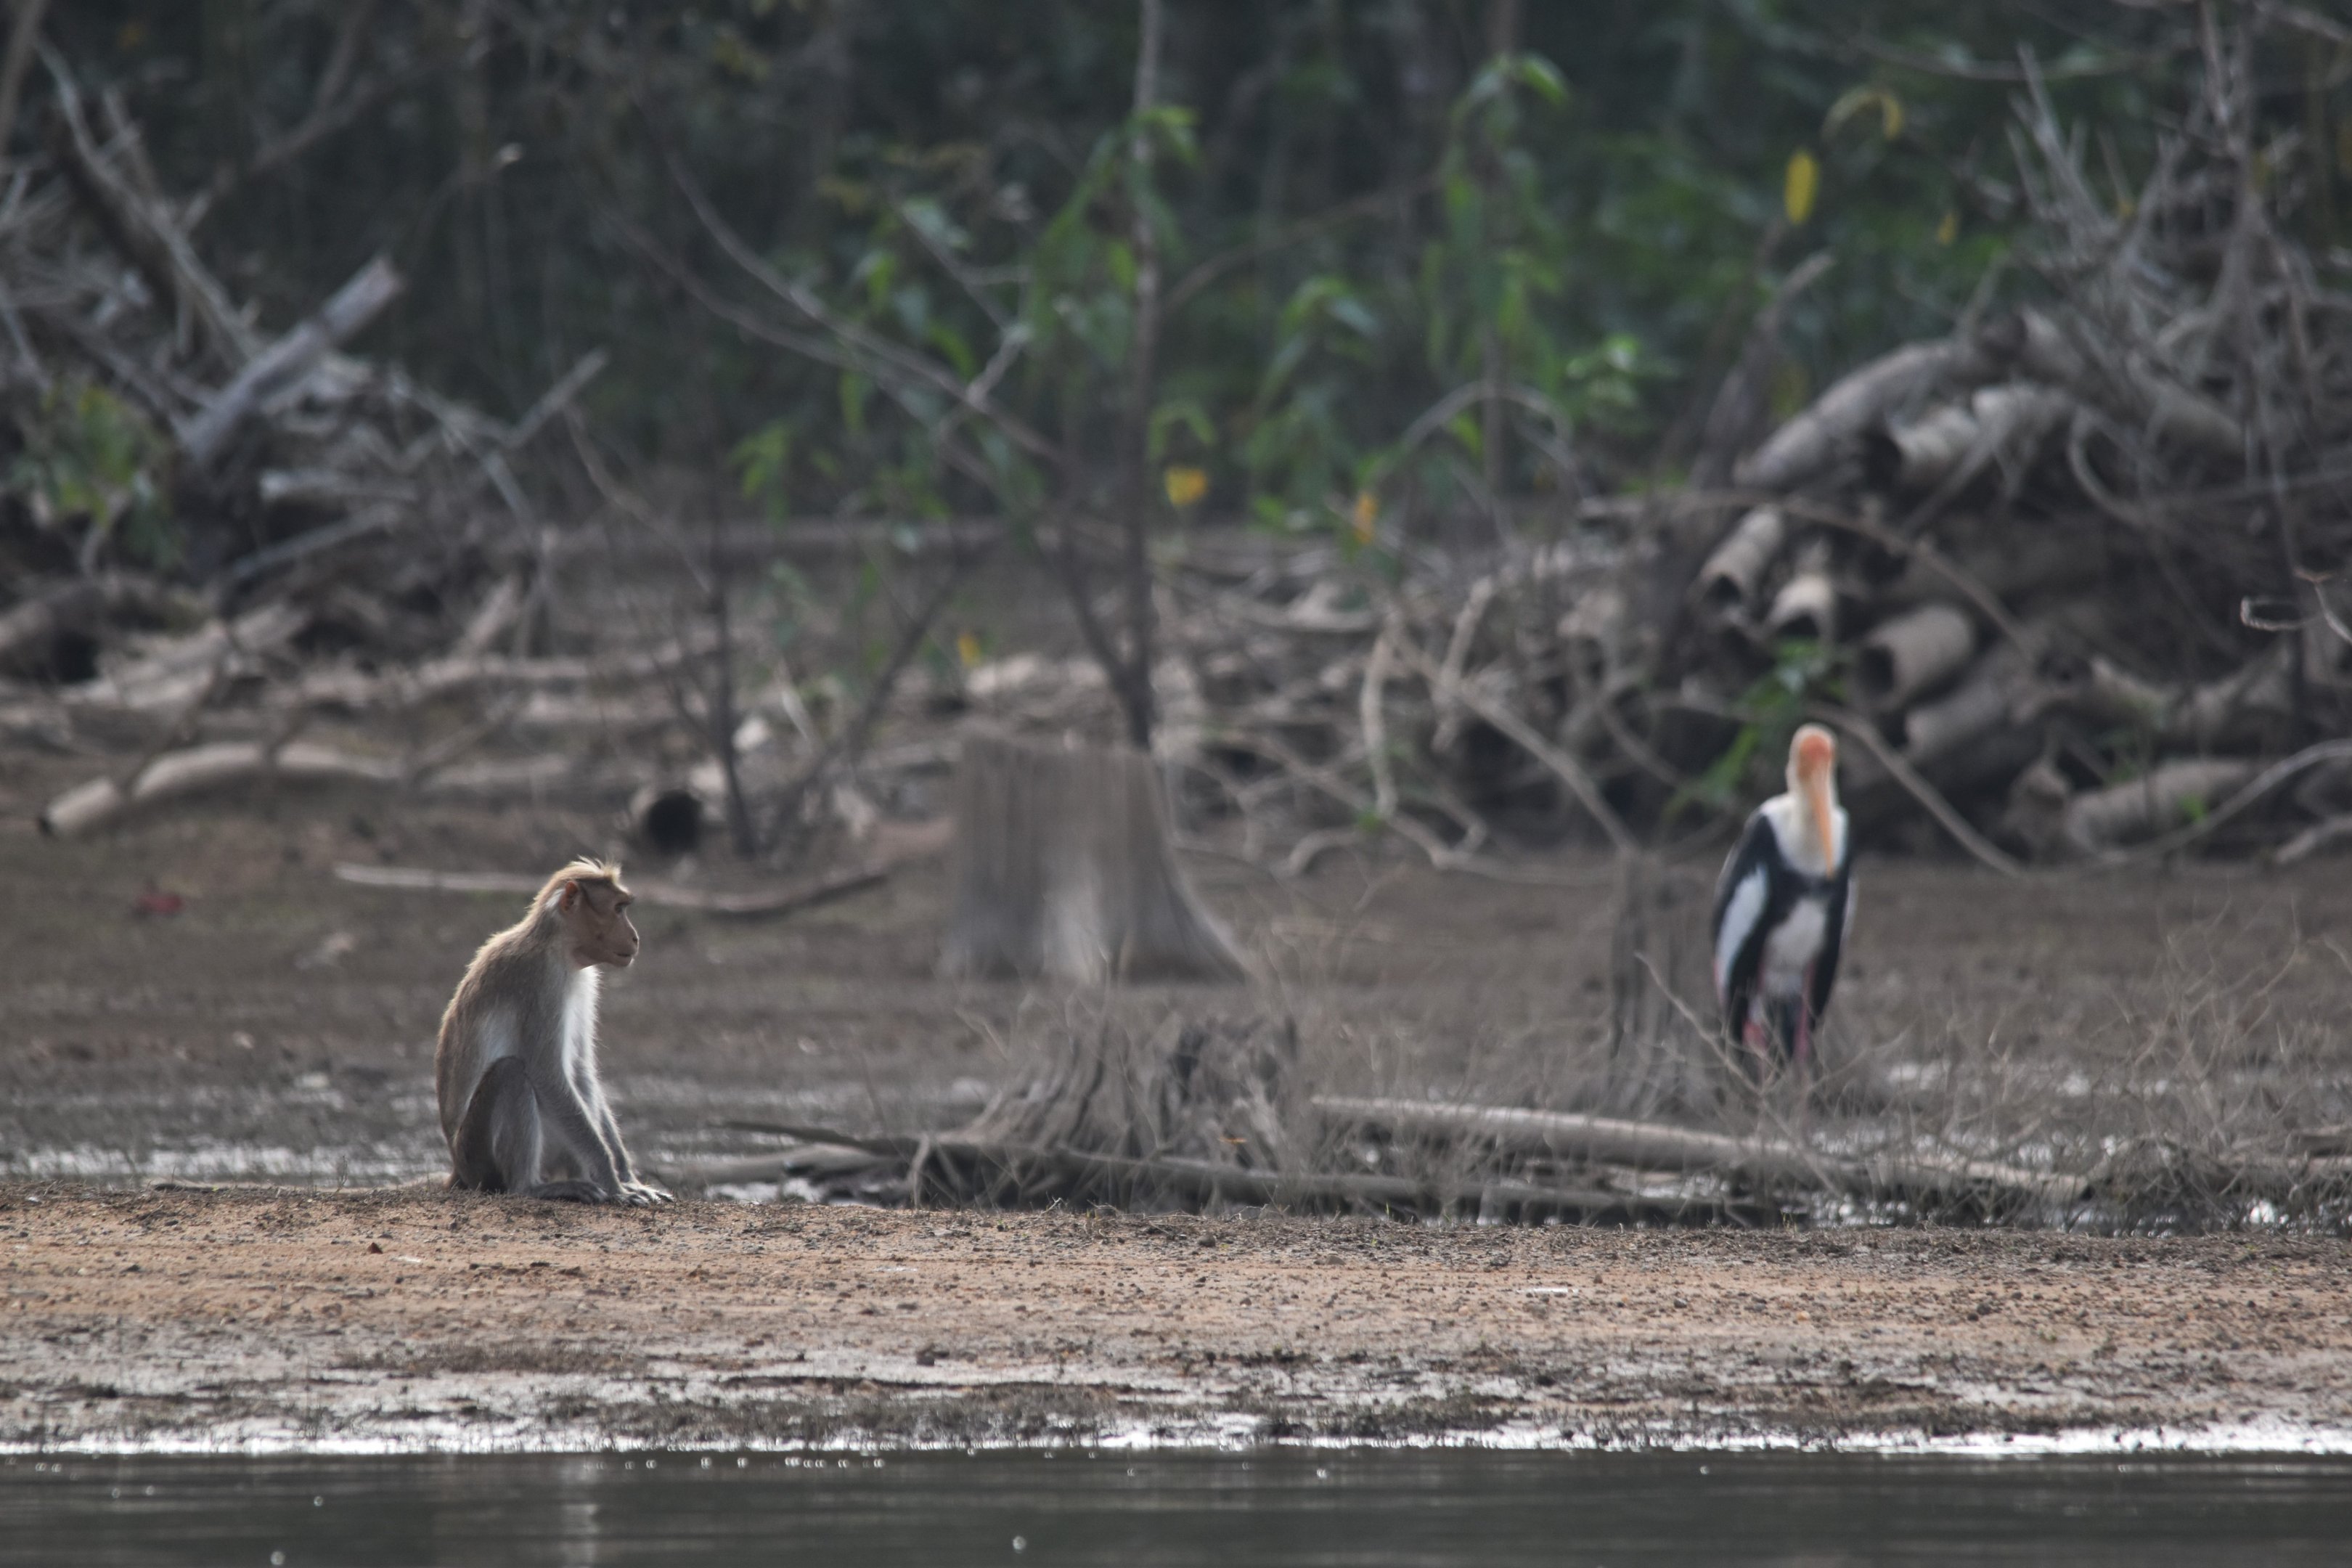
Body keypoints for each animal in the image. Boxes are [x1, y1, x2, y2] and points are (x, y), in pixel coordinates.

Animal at [434, 858, 671, 1205]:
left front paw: (627, 1178)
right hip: (475, 1153)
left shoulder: (585, 980)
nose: (636, 937)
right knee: (512, 1073)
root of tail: (457, 1169)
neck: (557, 945)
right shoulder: (540, 980)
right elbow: (546, 1072)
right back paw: (531, 1186)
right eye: (618, 909)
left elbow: (581, 1068)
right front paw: (614, 1183)